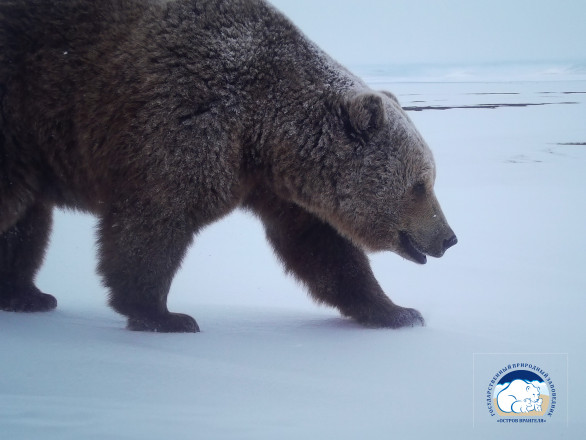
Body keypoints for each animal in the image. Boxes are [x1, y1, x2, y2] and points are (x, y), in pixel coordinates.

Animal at [0, 0, 454, 330]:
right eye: (420, 184)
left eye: (429, 178)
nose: (449, 238)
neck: (263, 128)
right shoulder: (183, 120)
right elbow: (154, 217)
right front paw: (164, 314)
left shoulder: (274, 183)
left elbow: (323, 248)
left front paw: (397, 311)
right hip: (22, 114)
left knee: (28, 222)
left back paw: (26, 294)